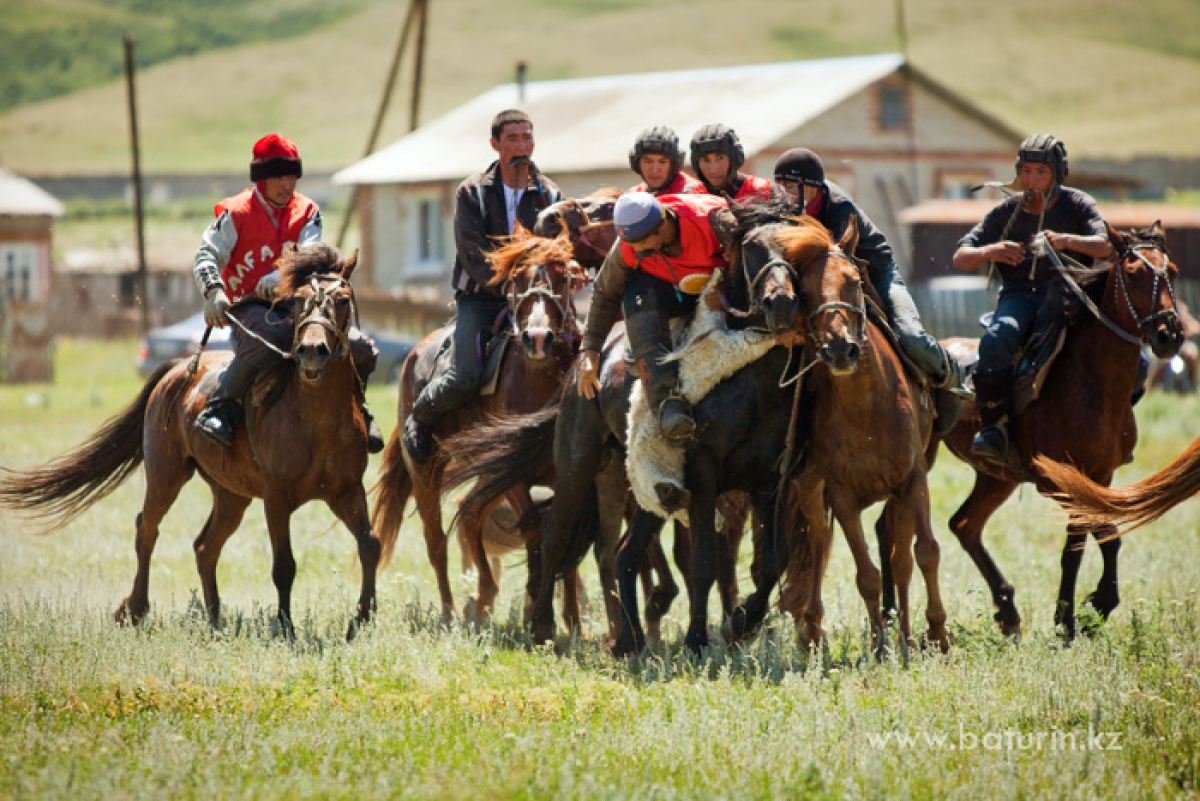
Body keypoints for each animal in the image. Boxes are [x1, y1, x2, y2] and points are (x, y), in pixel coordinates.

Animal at [0, 244, 379, 633]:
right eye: (299, 300)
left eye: (343, 300)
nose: (312, 351)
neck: (317, 421)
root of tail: (178, 369)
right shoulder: (276, 499)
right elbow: (284, 566)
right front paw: (286, 629)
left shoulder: (347, 491)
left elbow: (370, 546)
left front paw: (361, 620)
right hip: (165, 475)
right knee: (147, 529)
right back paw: (136, 609)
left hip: (231, 496)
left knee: (205, 547)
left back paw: (214, 619)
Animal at [369, 221, 595, 623]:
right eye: (517, 278)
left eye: (565, 278)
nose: (538, 338)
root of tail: (414, 355)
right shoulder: (516, 479)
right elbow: (534, 529)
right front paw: (539, 611)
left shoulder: (564, 475)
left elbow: (563, 531)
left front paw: (572, 621)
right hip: (426, 476)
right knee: (437, 540)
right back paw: (450, 612)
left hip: (486, 474)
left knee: (472, 514)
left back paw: (484, 596)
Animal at [926, 224, 1180, 637]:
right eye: (1133, 274)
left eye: (1170, 271)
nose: (1168, 334)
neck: (1089, 381)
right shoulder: (1061, 481)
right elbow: (1078, 547)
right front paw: (1069, 621)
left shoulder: (1100, 476)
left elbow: (1107, 538)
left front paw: (1097, 604)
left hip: (997, 477)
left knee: (964, 525)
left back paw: (1007, 610)